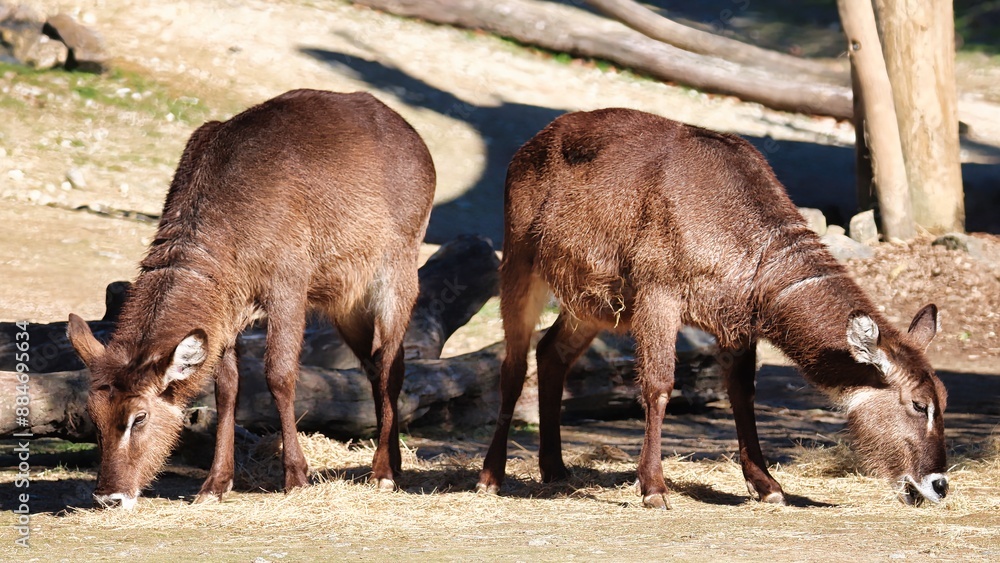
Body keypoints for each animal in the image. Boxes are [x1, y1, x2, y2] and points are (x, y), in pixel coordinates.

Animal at [66, 89, 434, 512]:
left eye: (138, 417)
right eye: (93, 415)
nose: (109, 496)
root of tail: (413, 137)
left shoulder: (288, 286)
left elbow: (279, 375)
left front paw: (296, 477)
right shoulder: (227, 313)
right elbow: (226, 389)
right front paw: (215, 484)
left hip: (396, 272)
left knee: (390, 363)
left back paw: (384, 472)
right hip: (347, 303)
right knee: (379, 365)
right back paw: (393, 463)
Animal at [476, 108, 944, 508]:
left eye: (942, 398)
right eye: (919, 404)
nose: (938, 485)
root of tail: (527, 147)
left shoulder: (735, 323)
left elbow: (742, 393)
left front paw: (768, 485)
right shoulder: (657, 294)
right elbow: (659, 385)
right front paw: (653, 488)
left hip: (592, 303)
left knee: (551, 352)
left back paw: (554, 469)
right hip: (519, 264)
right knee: (513, 366)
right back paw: (491, 477)